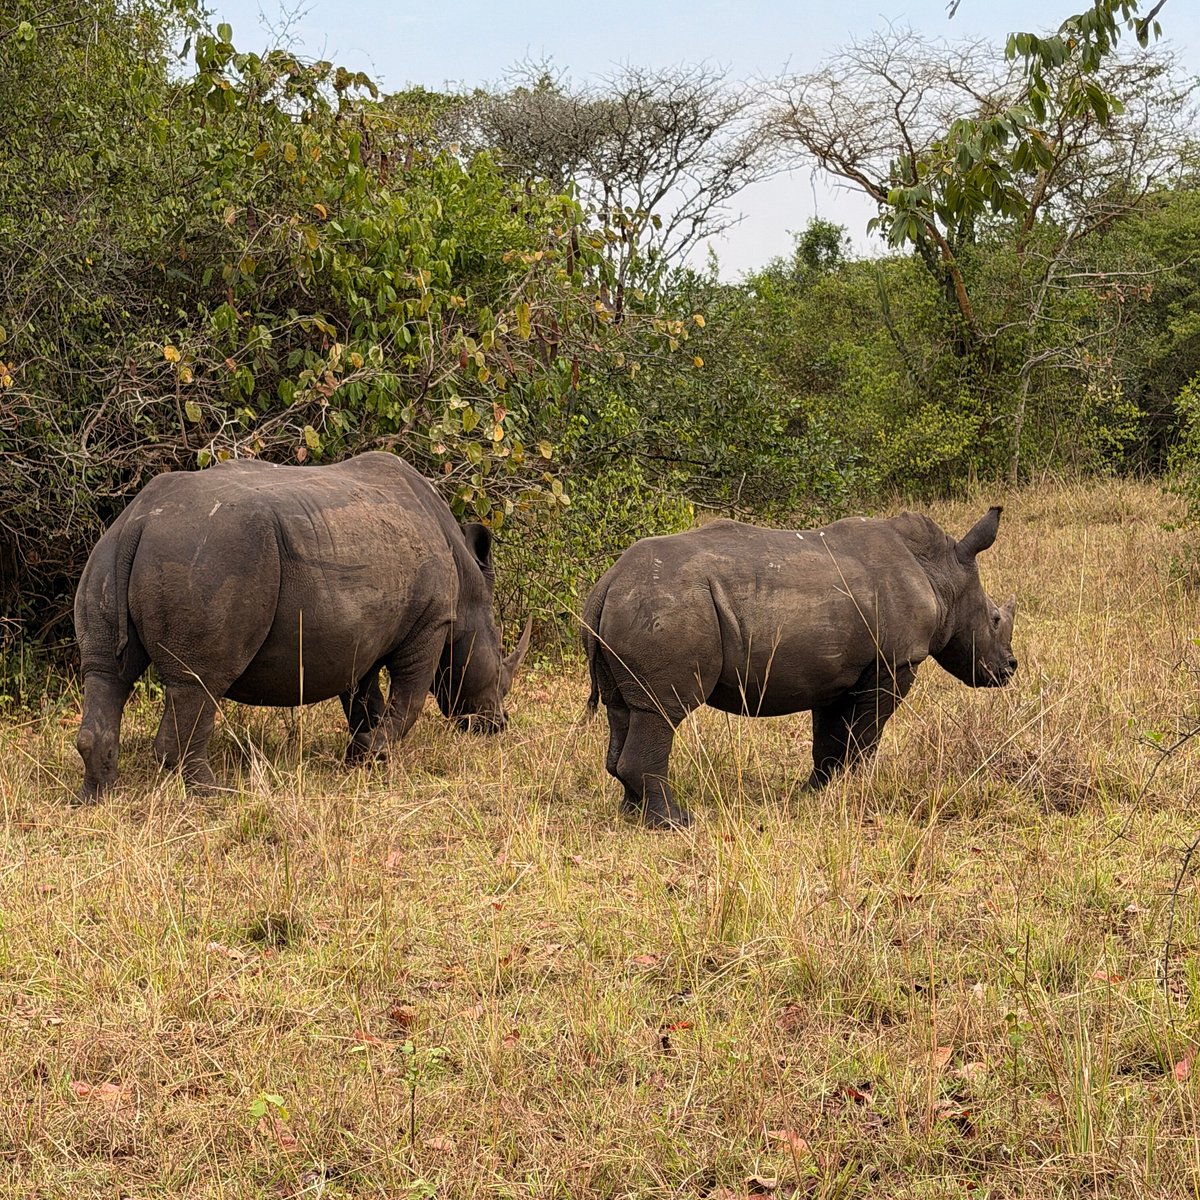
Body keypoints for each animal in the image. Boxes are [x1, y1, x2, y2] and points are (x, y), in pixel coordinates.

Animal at [74, 451, 530, 801]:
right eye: (500, 664)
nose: (498, 725)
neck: (469, 590)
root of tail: (138, 523)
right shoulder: (431, 624)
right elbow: (410, 697)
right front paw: (380, 754)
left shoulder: (357, 633)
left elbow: (363, 698)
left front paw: (361, 757)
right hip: (209, 556)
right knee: (198, 682)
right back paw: (215, 795)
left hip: (110, 555)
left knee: (105, 673)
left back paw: (98, 798)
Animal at [583, 507, 1017, 828]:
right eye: (995, 619)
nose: (1010, 669)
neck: (941, 573)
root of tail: (606, 583)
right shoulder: (894, 663)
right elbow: (866, 734)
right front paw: (856, 789)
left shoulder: (836, 672)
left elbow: (828, 737)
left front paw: (817, 792)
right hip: (667, 608)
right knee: (661, 711)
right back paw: (674, 823)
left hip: (635, 605)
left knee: (623, 710)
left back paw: (632, 814)